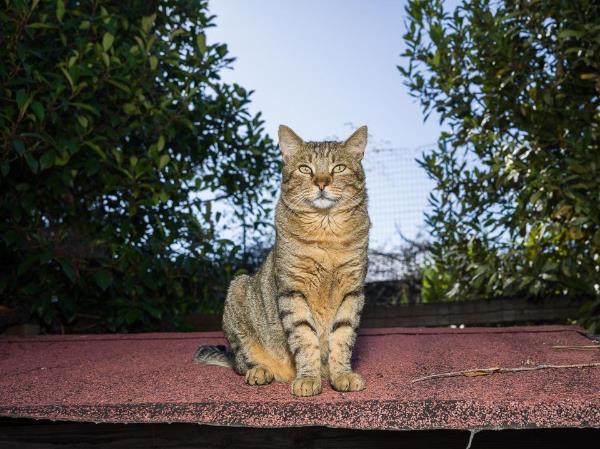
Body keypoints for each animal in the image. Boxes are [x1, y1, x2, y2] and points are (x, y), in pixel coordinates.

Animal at [193, 124, 370, 394]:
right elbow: (304, 338)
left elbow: (342, 337)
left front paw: (341, 374)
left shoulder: (352, 291)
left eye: (338, 168)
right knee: (242, 362)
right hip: (238, 291)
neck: (326, 232)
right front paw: (308, 378)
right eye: (305, 169)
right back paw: (260, 371)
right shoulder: (292, 290)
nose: (321, 182)